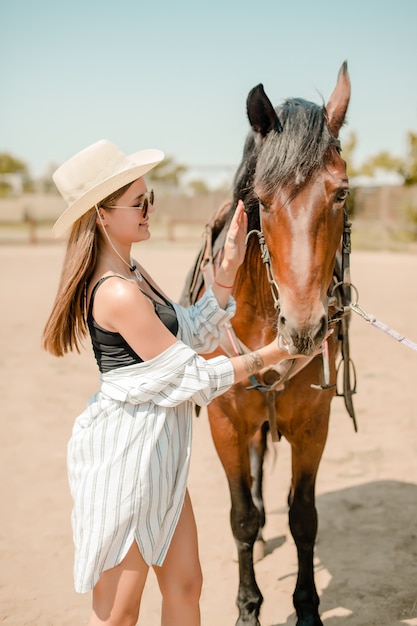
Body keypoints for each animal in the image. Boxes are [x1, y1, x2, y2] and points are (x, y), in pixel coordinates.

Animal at [181, 62, 352, 624]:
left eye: (341, 193)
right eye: (261, 199)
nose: (303, 325)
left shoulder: (314, 424)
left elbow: (304, 517)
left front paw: (307, 608)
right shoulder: (225, 423)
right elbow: (241, 517)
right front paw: (248, 607)